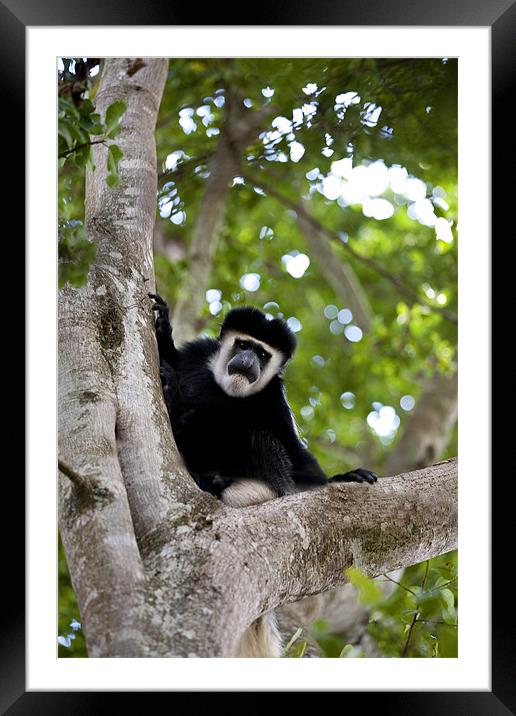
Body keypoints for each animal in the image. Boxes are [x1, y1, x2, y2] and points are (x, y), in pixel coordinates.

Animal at [147, 294, 376, 656]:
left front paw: (344, 477)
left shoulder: (273, 399)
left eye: (263, 354)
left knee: (248, 431)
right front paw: (163, 328)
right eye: (243, 344)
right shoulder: (198, 353)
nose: (247, 360)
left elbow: (296, 456)